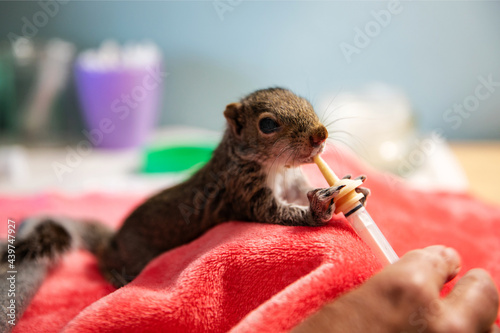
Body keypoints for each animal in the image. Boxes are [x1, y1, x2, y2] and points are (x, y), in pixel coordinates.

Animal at [0, 88, 368, 316]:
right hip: (126, 257)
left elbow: (299, 190)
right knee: (103, 262)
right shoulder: (244, 192)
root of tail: (113, 240)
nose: (321, 134)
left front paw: (350, 188)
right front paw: (319, 210)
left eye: (305, 101)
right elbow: (276, 211)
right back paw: (117, 276)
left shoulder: (290, 183)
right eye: (267, 124)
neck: (275, 167)